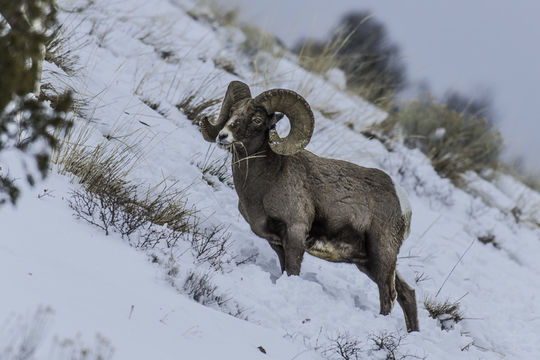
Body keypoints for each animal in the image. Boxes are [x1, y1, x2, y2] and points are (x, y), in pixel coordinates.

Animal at [200, 81, 420, 332]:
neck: (266, 181)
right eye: (232, 111)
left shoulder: (295, 234)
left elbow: (293, 272)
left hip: (381, 256)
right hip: (367, 262)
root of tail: (403, 204)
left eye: (256, 119)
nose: (223, 136)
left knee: (388, 295)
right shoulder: (277, 242)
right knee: (407, 294)